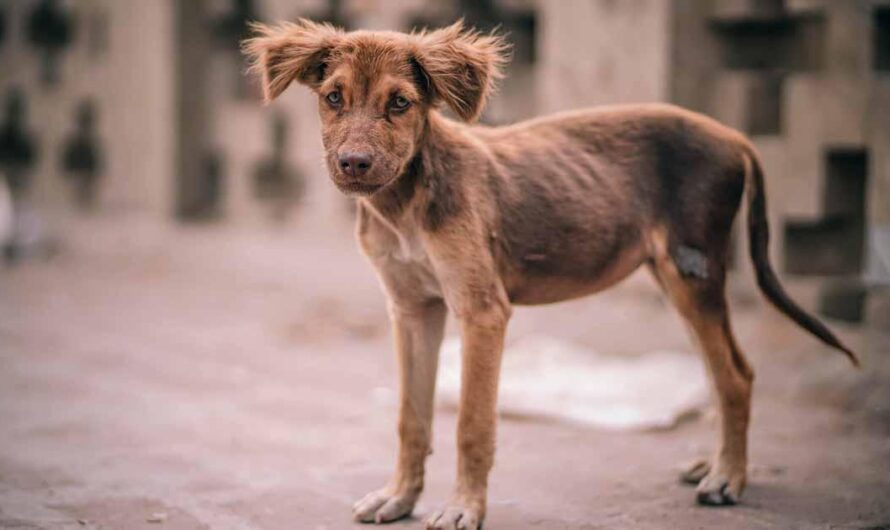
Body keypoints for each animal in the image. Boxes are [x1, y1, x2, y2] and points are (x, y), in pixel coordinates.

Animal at [241, 19, 852, 528]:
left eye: (400, 103)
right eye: (333, 98)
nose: (354, 164)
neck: (406, 204)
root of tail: (733, 136)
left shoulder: (482, 310)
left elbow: (471, 423)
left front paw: (463, 508)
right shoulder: (412, 310)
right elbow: (410, 418)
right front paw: (399, 497)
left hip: (693, 269)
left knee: (735, 375)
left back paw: (728, 477)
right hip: (674, 276)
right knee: (720, 369)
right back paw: (713, 465)